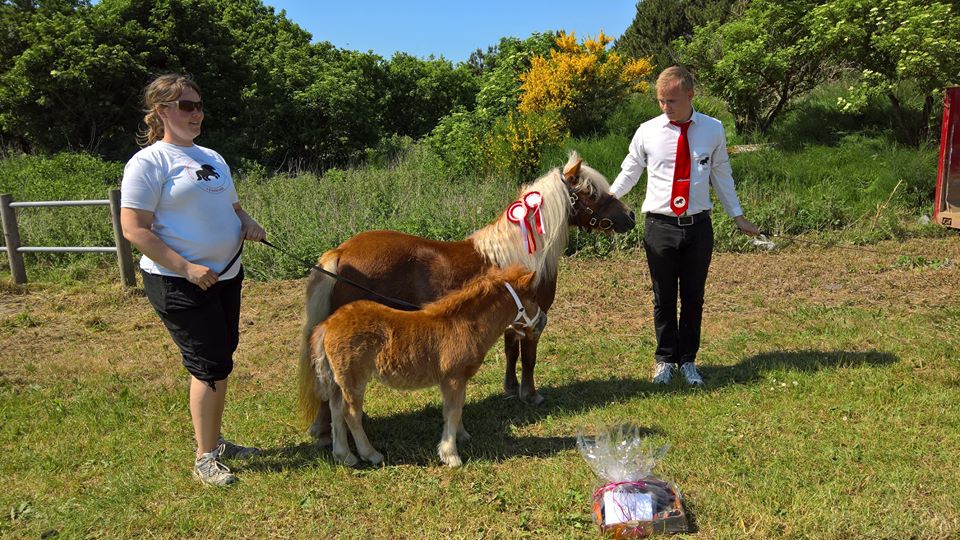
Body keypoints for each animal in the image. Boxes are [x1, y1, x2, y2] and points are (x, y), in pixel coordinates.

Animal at [296, 152, 632, 442]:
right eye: (592, 193)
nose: (629, 216)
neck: (521, 255)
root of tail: (341, 252)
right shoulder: (532, 322)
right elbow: (529, 358)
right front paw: (531, 394)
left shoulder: (513, 319)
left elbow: (511, 353)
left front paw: (511, 389)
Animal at [312, 264, 544, 466]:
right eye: (533, 297)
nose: (543, 321)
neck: (464, 326)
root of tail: (328, 324)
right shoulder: (453, 378)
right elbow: (452, 412)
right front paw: (451, 455)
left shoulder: (458, 379)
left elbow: (457, 407)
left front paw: (462, 435)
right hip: (354, 379)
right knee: (350, 414)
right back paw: (371, 454)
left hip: (338, 380)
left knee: (335, 411)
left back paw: (345, 456)